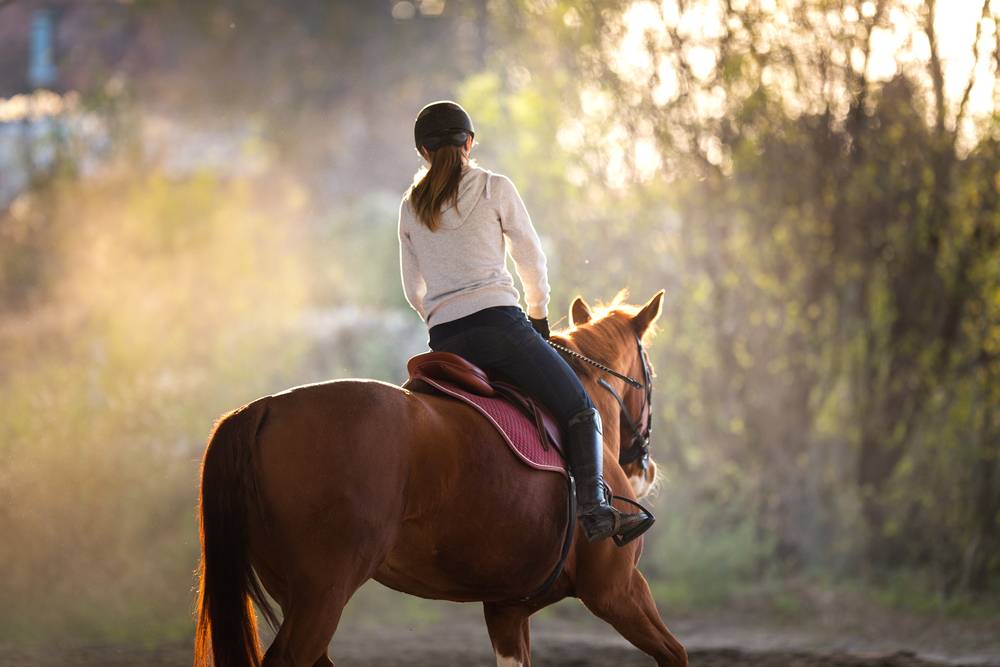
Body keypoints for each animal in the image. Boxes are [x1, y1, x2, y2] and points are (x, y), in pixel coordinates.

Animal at [191, 292, 684, 667]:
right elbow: (674, 653)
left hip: (296, 593)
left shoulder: (507, 611)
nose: (644, 469)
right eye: (650, 376)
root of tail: (263, 409)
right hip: (322, 594)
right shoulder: (617, 590)